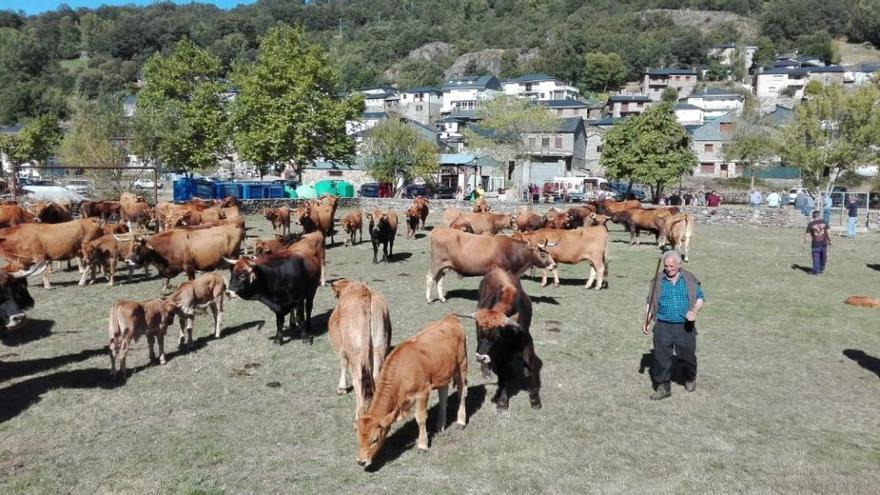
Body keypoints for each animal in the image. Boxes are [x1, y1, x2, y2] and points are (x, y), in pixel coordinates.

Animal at [330, 280, 392, 418]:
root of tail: (365, 292)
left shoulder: (341, 348)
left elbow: (343, 364)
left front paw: (341, 388)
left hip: (356, 353)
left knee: (358, 380)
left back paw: (358, 415)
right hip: (380, 346)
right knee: (376, 377)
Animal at [356, 314, 470, 468]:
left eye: (374, 440)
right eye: (358, 438)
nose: (361, 461)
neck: (401, 371)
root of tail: (450, 318)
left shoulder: (422, 392)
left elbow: (420, 418)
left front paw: (422, 445)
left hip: (462, 366)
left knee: (461, 393)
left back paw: (461, 422)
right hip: (442, 373)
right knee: (443, 396)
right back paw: (440, 424)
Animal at [426, 228, 556, 304]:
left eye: (549, 252)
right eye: (543, 253)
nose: (554, 265)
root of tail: (438, 231)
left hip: (443, 266)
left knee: (439, 280)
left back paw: (442, 298)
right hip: (436, 263)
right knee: (430, 278)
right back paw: (429, 299)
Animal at [464, 268, 540, 410]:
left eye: (497, 337)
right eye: (480, 332)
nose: (480, 357)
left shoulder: (528, 343)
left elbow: (528, 371)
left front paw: (535, 399)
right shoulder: (498, 353)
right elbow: (503, 374)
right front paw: (503, 400)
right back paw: (486, 371)